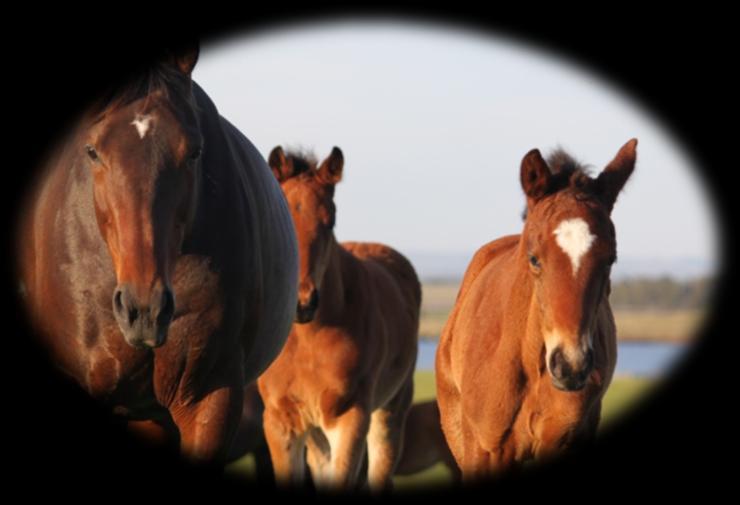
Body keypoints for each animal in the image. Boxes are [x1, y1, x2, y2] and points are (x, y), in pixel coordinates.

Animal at [256, 146, 420, 488]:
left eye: (330, 222)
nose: (303, 303)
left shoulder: (350, 417)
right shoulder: (281, 422)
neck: (306, 343)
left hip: (389, 412)